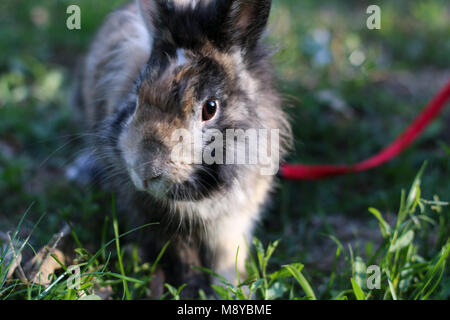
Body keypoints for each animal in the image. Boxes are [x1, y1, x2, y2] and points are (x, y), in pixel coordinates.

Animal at [70, 0, 292, 296]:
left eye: (210, 108)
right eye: (136, 96)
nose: (145, 172)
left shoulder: (232, 221)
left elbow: (226, 261)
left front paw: (232, 290)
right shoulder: (161, 224)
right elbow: (183, 261)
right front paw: (192, 290)